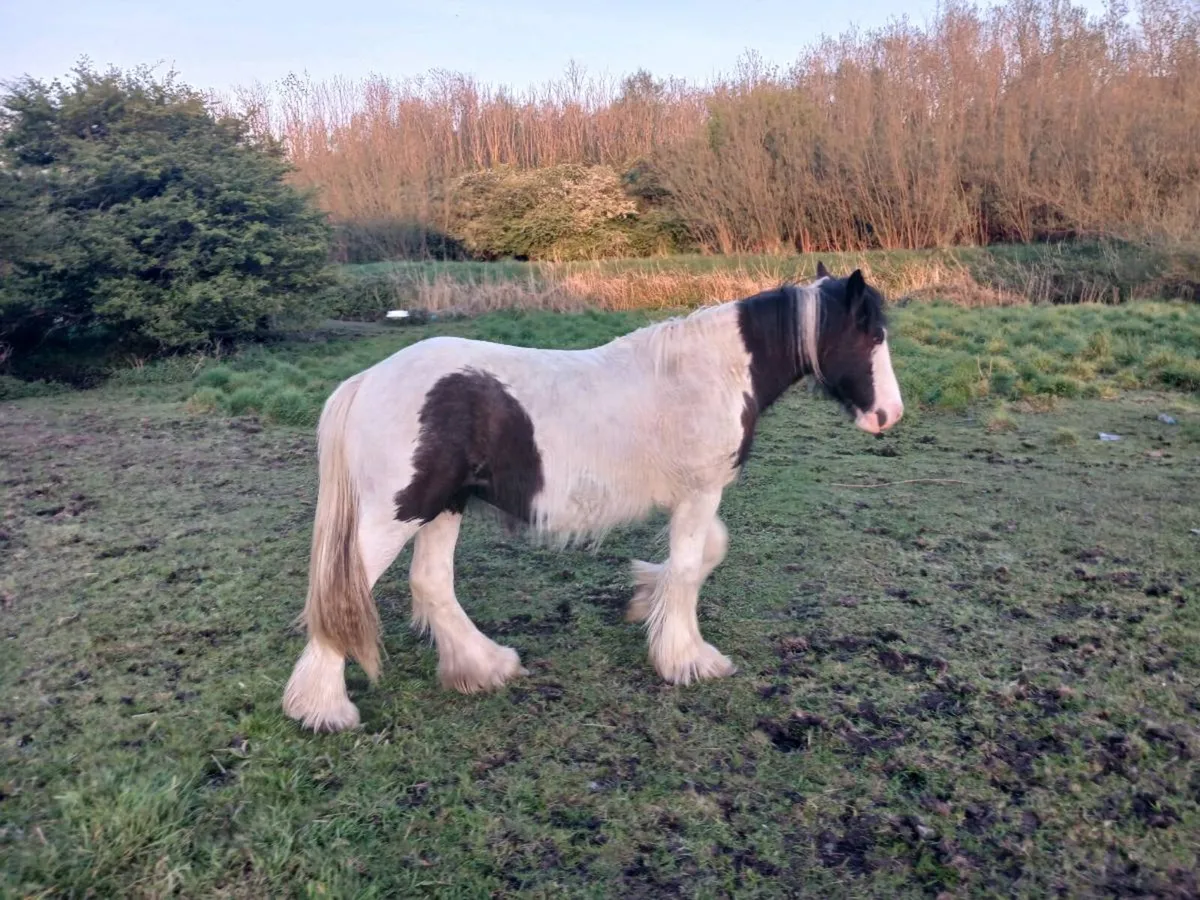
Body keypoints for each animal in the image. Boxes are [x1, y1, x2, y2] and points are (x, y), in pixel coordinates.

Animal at [282, 262, 904, 732]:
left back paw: (483, 667)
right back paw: (322, 707)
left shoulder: (694, 497)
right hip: (398, 513)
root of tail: (366, 380)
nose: (888, 415)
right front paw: (687, 659)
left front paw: (644, 599)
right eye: (871, 334)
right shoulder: (700, 493)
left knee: (431, 584)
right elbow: (689, 569)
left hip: (443, 507)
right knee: (344, 594)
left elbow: (707, 554)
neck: (711, 372)